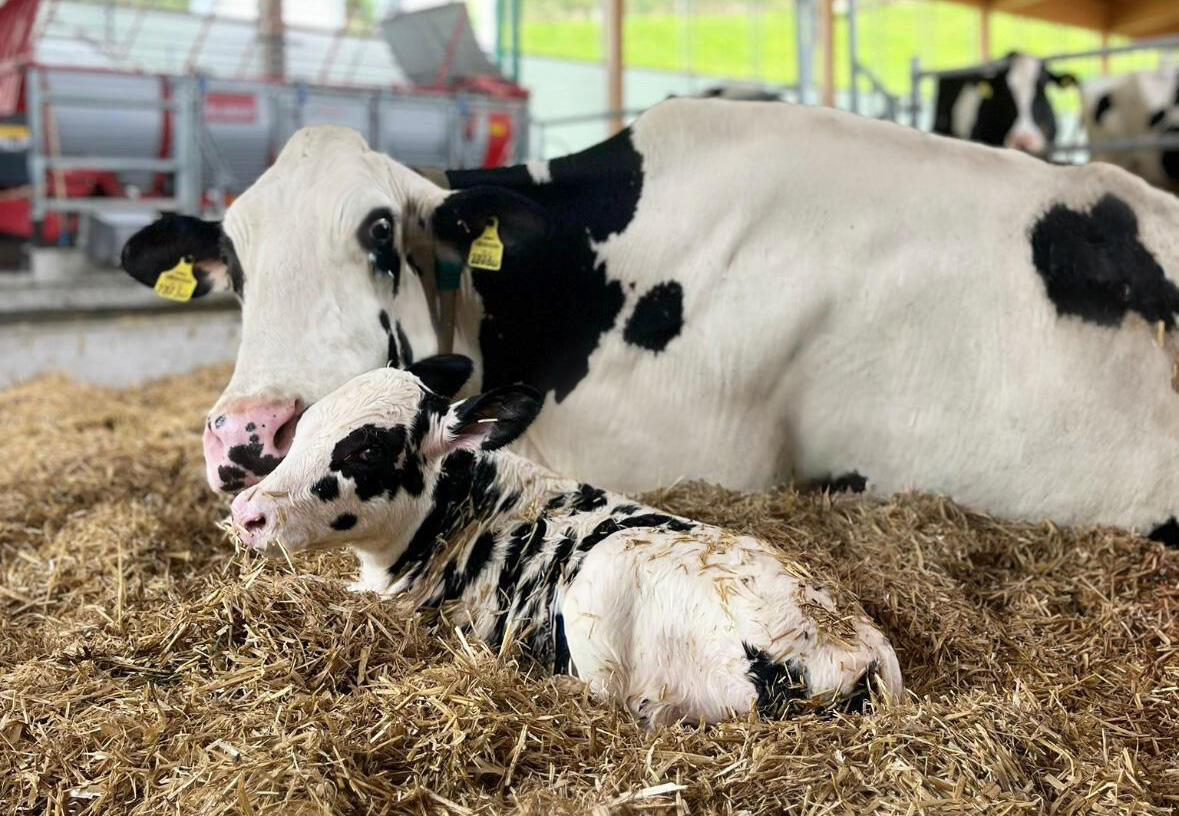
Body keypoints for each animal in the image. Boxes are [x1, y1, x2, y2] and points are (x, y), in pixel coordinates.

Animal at [228, 356, 904, 726]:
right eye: (301, 430)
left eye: (365, 450)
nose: (247, 512)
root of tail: (855, 646)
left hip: (605, 579)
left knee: (612, 700)